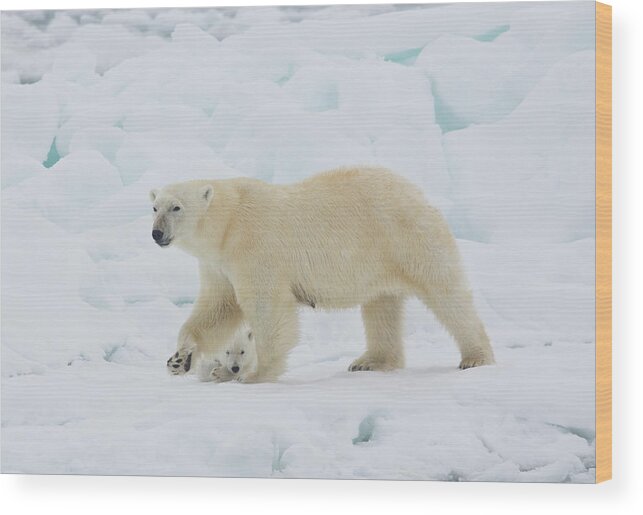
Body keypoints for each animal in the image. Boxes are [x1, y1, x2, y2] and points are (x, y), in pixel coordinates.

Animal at [150, 166, 494, 382]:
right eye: (154, 206)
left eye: (176, 207)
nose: (156, 234)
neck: (228, 222)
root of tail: (417, 191)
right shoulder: (219, 264)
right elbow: (218, 308)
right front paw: (180, 359)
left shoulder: (254, 248)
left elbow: (268, 308)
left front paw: (256, 373)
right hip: (378, 260)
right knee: (381, 306)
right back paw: (370, 361)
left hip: (406, 237)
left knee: (446, 291)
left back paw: (476, 356)